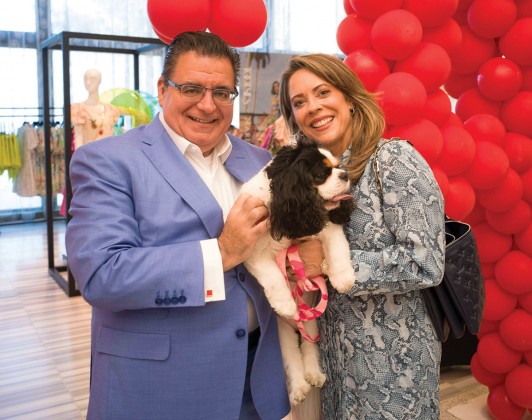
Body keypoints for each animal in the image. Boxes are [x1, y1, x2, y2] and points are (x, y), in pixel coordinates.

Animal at [242, 136, 358, 412]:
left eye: (338, 166)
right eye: (321, 174)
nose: (345, 174)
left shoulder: (326, 226)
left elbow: (337, 249)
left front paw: (343, 279)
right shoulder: (255, 254)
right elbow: (273, 277)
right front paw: (284, 303)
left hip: (312, 320)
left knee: (309, 344)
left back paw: (314, 374)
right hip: (281, 332)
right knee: (290, 357)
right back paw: (298, 388)